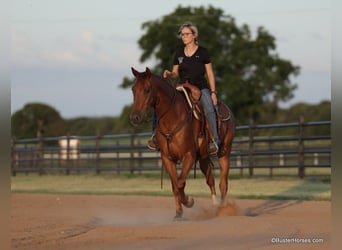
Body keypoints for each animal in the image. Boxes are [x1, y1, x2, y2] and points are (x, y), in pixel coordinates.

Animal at [129, 67, 235, 218]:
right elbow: (175, 185)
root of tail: (226, 108)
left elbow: (180, 183)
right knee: (210, 179)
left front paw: (189, 201)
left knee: (223, 183)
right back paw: (215, 204)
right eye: (133, 89)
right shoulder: (167, 158)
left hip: (224, 152)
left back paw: (223, 208)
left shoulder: (189, 156)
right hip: (203, 157)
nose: (135, 117)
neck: (173, 118)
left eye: (147, 90)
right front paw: (178, 212)